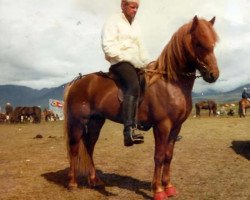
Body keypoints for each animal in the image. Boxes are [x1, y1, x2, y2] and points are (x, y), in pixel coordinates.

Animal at [63, 15, 220, 198]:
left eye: (213, 43)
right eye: (198, 43)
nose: (213, 75)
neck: (170, 83)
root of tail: (77, 82)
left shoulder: (176, 127)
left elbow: (168, 156)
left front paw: (168, 186)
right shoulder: (162, 126)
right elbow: (159, 156)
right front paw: (158, 190)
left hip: (96, 121)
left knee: (89, 146)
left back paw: (95, 180)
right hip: (78, 122)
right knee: (74, 148)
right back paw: (72, 183)